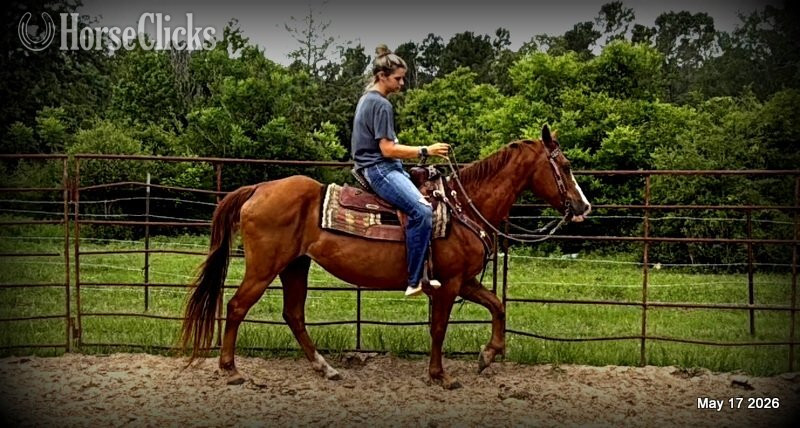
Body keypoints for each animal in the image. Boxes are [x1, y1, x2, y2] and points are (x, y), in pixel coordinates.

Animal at [180, 125, 591, 389]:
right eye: (566, 166)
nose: (583, 206)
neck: (463, 207)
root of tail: (259, 188)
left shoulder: (466, 281)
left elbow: (498, 305)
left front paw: (488, 354)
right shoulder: (448, 285)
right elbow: (439, 328)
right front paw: (441, 376)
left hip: (295, 266)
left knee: (293, 315)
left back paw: (325, 369)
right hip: (265, 267)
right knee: (236, 307)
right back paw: (231, 370)